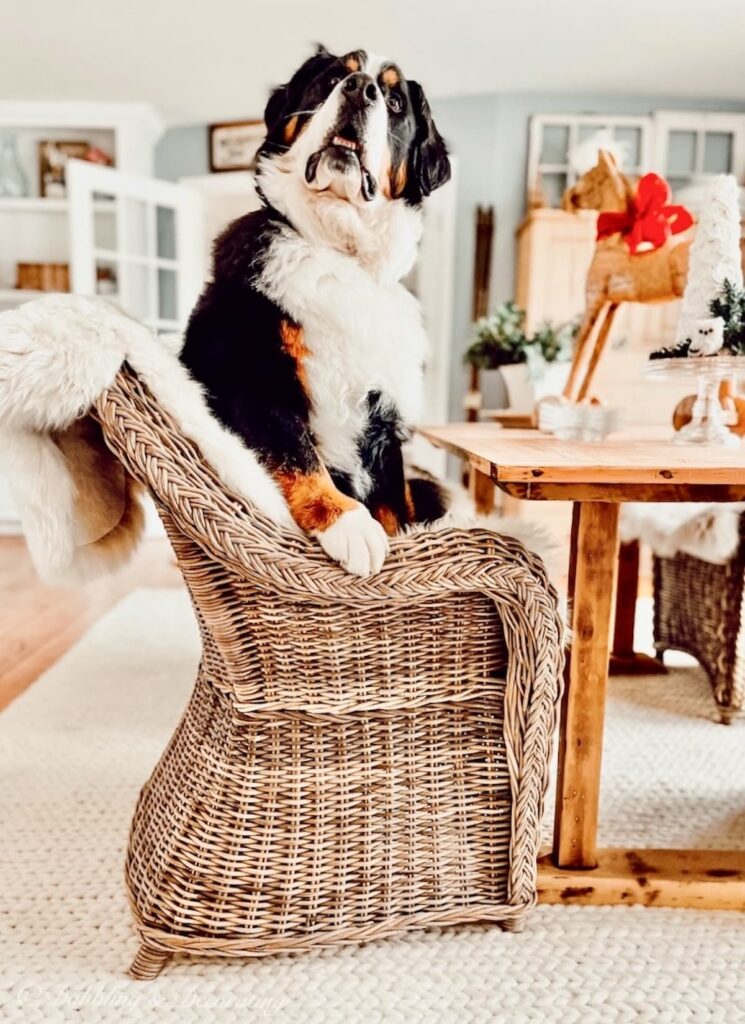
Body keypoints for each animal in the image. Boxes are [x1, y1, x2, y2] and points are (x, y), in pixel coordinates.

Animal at [182, 46, 448, 577]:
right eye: (331, 79)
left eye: (394, 102)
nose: (361, 90)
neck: (338, 251)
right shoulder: (257, 379)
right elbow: (299, 455)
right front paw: (348, 524)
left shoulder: (383, 417)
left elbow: (392, 502)